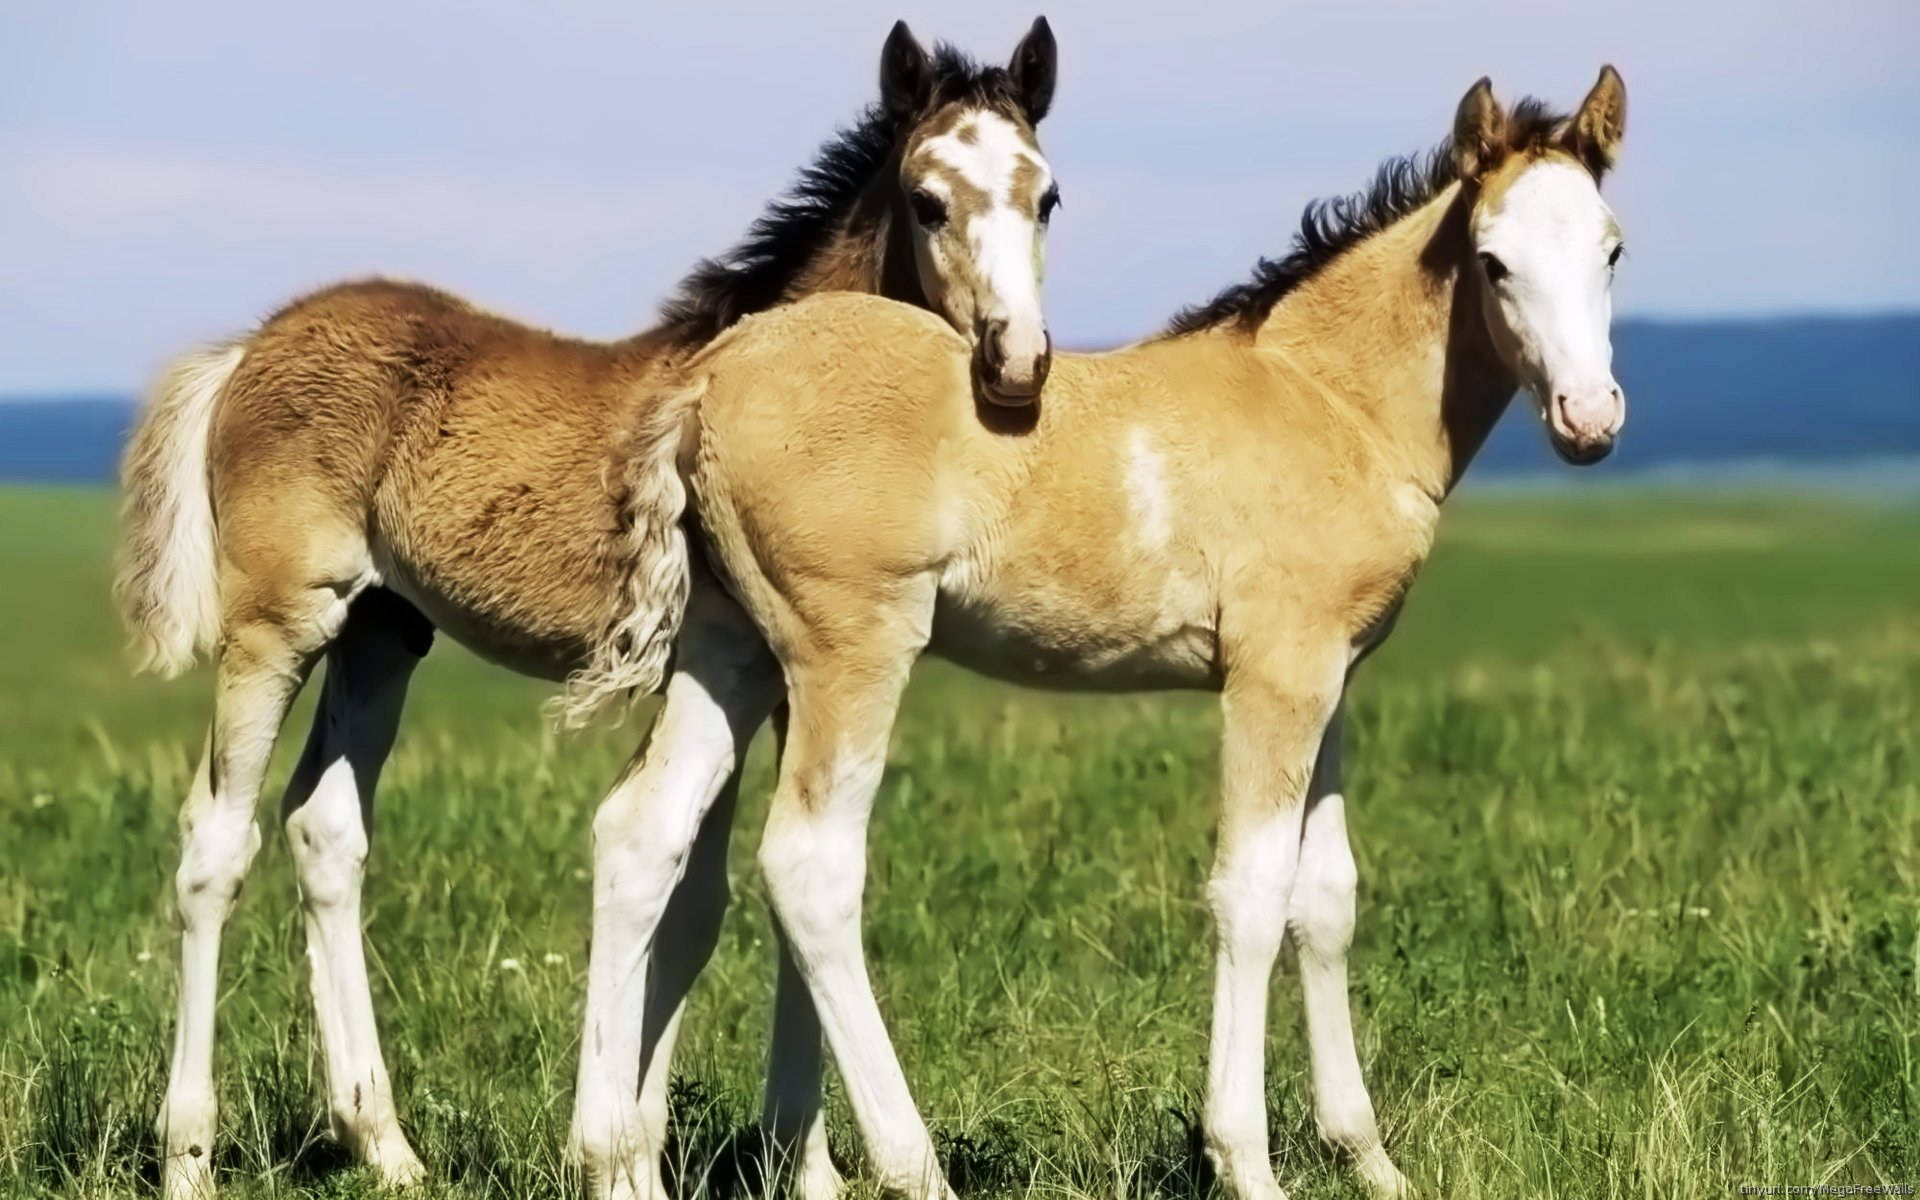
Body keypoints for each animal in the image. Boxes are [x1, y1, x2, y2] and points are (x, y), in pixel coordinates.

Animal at [641, 67, 1620, 1198]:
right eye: (1493, 261)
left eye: (1612, 248)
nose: (1591, 419)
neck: (1330, 402)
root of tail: (707, 379)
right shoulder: (1273, 677)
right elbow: (1250, 893)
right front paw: (1246, 1160)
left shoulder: (1331, 678)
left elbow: (1324, 898)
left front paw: (1369, 1160)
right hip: (848, 651)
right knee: (808, 869)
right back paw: (910, 1164)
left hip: (730, 648)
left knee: (645, 842)